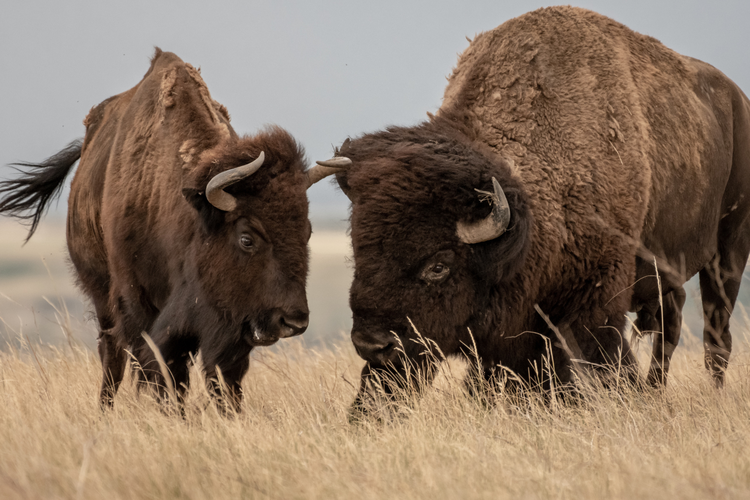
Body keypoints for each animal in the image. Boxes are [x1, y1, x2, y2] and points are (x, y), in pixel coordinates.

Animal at [0, 48, 346, 410]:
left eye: (306, 232)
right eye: (246, 238)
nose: (293, 321)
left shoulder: (223, 328)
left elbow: (220, 377)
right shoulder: (139, 306)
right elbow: (156, 367)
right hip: (101, 295)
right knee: (112, 355)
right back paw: (105, 408)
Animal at [328, 5, 750, 406]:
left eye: (438, 266)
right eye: (360, 251)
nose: (372, 344)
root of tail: (737, 98)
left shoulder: (594, 301)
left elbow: (602, 367)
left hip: (728, 255)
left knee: (715, 335)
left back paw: (706, 393)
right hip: (669, 273)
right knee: (671, 323)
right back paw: (658, 391)